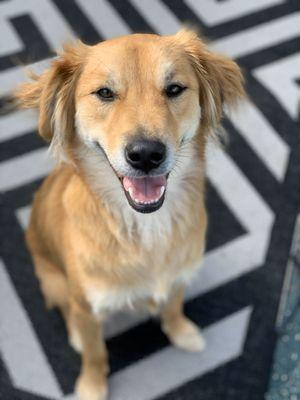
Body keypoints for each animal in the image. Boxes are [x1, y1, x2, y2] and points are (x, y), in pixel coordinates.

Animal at [14, 28, 244, 400]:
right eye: (105, 93)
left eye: (174, 89)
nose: (146, 154)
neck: (146, 226)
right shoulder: (88, 304)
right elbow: (95, 353)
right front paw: (92, 386)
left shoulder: (179, 275)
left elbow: (173, 306)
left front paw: (181, 332)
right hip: (54, 281)